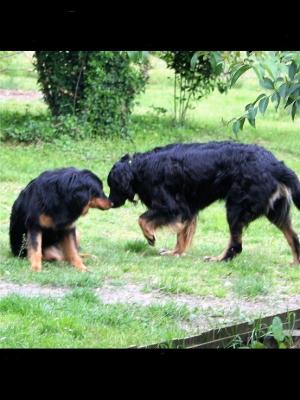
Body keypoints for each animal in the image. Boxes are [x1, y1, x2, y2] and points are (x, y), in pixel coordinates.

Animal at [108, 142, 300, 264]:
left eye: (112, 185)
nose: (110, 203)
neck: (138, 167)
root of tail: (275, 165)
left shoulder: (172, 208)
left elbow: (142, 219)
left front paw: (150, 236)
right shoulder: (187, 210)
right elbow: (181, 236)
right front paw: (175, 252)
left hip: (235, 208)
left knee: (236, 245)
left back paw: (218, 259)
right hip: (274, 211)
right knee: (293, 236)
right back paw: (296, 262)